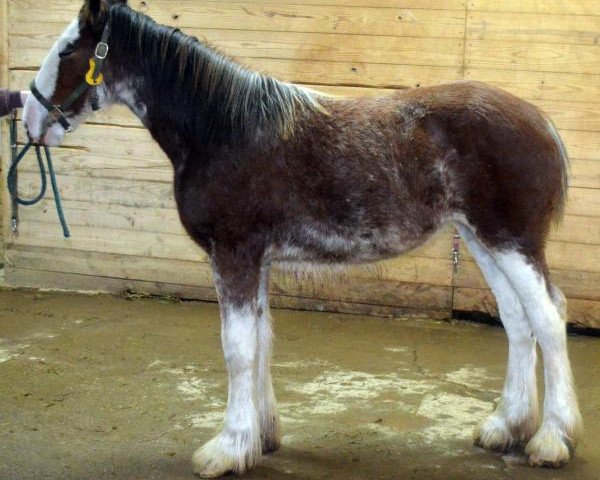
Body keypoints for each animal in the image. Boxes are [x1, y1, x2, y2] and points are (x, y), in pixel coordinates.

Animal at [22, 0, 580, 476]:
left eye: (68, 51)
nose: (29, 120)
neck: (223, 129)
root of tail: (542, 121)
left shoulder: (234, 254)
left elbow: (237, 349)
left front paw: (227, 449)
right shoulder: (256, 260)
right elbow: (260, 340)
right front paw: (260, 438)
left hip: (511, 242)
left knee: (549, 319)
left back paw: (552, 440)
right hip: (483, 241)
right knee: (518, 322)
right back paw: (506, 427)